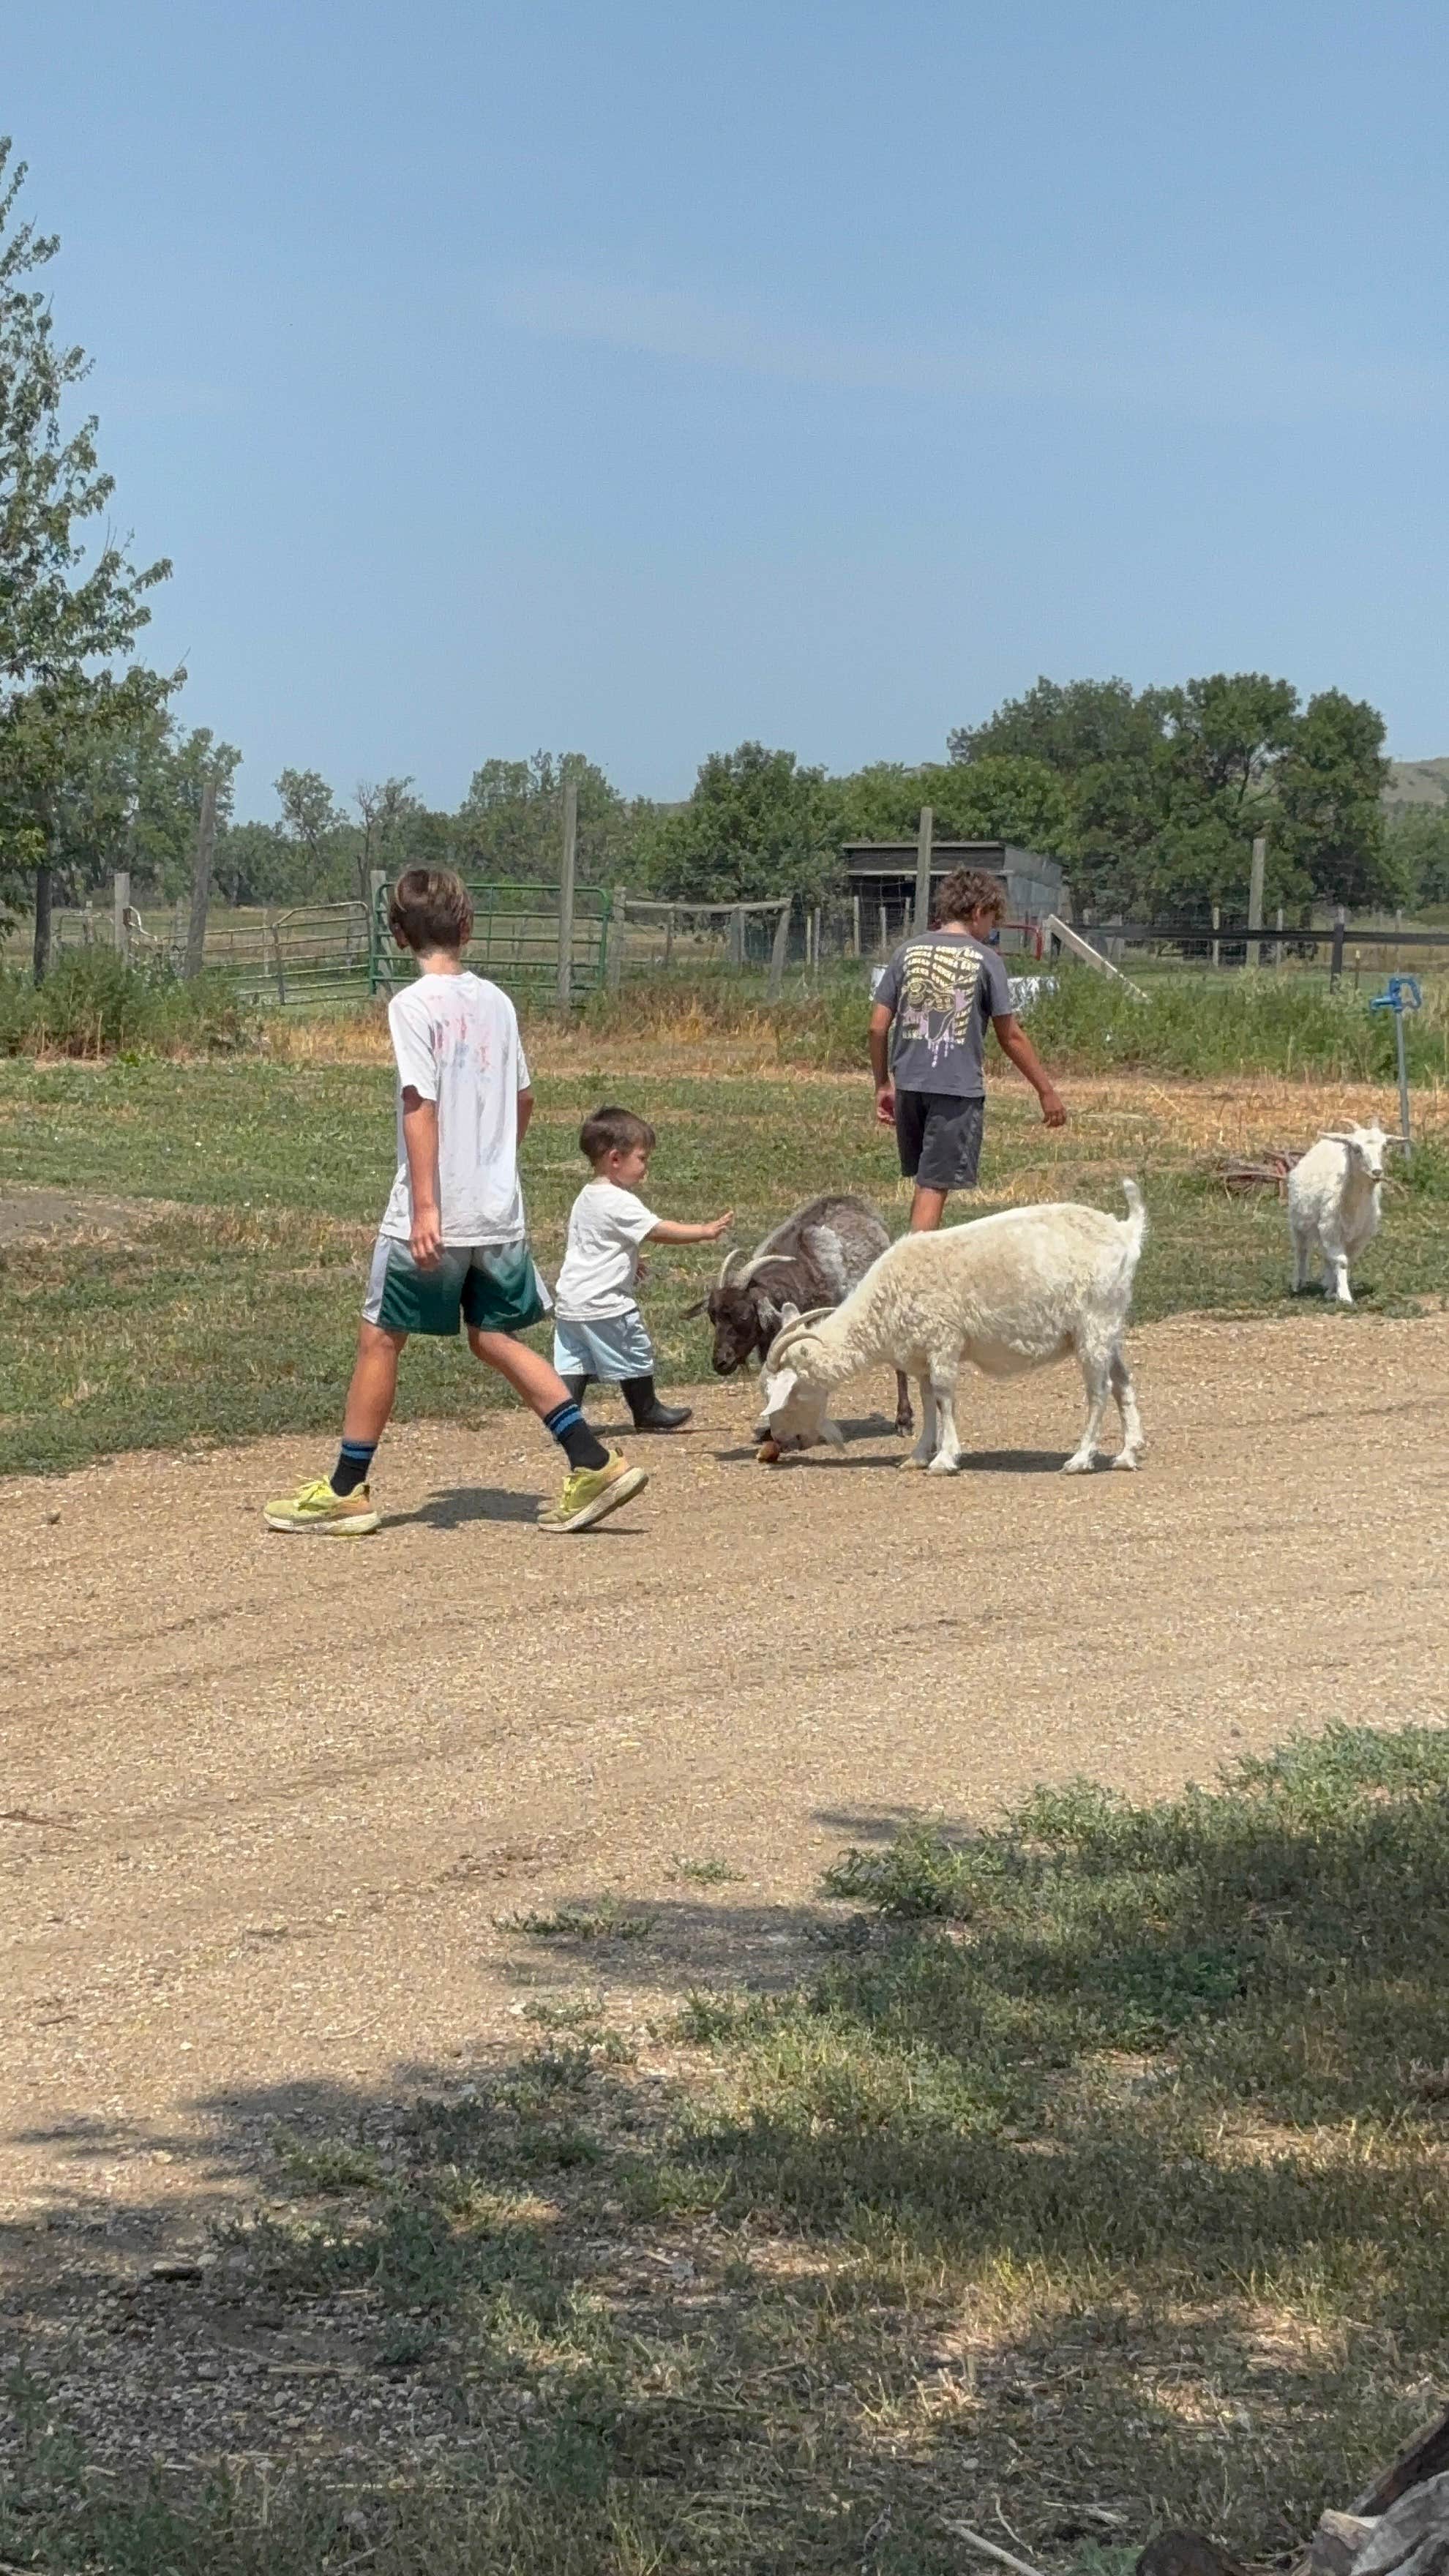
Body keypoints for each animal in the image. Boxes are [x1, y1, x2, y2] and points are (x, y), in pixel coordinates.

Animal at [758, 1183, 1147, 1477]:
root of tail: (1125, 1231)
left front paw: (945, 1459)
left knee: (1100, 1390)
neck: (885, 1299)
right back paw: (1128, 1454)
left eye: (787, 1394)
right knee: (1123, 1383)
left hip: (1094, 1322)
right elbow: (927, 1400)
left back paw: (1080, 1459)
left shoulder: (943, 1340)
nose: (781, 1440)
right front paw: (917, 1456)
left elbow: (945, 1397)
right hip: (1108, 1325)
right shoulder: (920, 1354)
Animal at [1287, 1121, 1387, 1306]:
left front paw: (1333, 1291)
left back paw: (1327, 1283)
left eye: (1384, 1147)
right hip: (1298, 1223)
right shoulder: (1331, 1229)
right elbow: (1341, 1262)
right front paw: (1345, 1296)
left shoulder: (1360, 1236)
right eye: (1356, 1148)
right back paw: (1298, 1284)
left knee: (1327, 1256)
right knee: (1301, 1251)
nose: (1377, 1172)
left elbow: (1346, 1261)